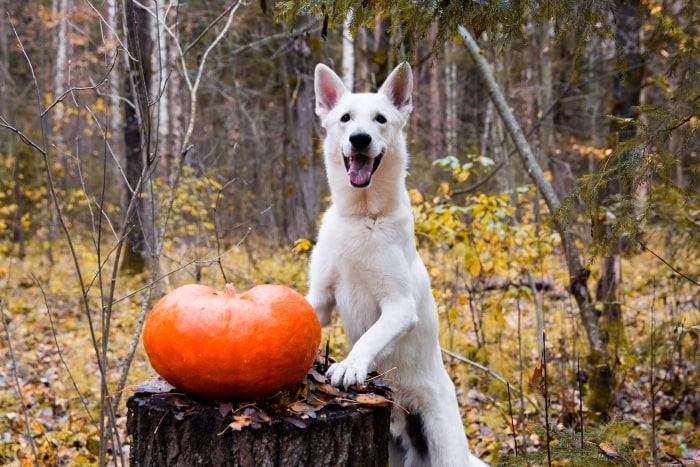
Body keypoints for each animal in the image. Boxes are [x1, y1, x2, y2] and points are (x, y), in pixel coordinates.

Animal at [306, 63, 486, 467]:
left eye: (380, 119)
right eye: (345, 118)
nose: (359, 139)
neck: (363, 217)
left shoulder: (399, 307)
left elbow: (370, 337)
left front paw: (350, 365)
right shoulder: (321, 297)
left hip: (446, 447)